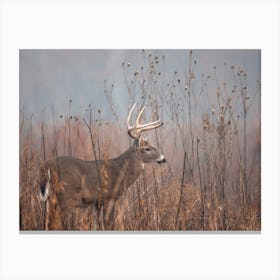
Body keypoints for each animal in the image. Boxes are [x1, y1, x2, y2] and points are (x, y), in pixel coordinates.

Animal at [38, 104, 166, 231]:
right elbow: (109, 225)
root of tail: (46, 167)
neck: (120, 172)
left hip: (48, 199)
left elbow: (96, 226)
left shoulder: (96, 203)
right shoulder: (109, 197)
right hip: (65, 196)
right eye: (147, 148)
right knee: (54, 224)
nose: (164, 158)